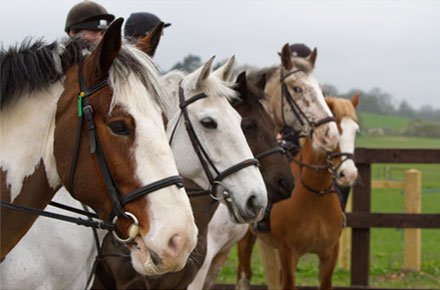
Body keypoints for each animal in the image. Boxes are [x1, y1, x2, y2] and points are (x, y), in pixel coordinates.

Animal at [235, 95, 360, 290]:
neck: (316, 196)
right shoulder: (288, 253)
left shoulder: (329, 255)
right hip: (246, 239)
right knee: (243, 274)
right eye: (333, 133)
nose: (348, 174)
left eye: (355, 131)